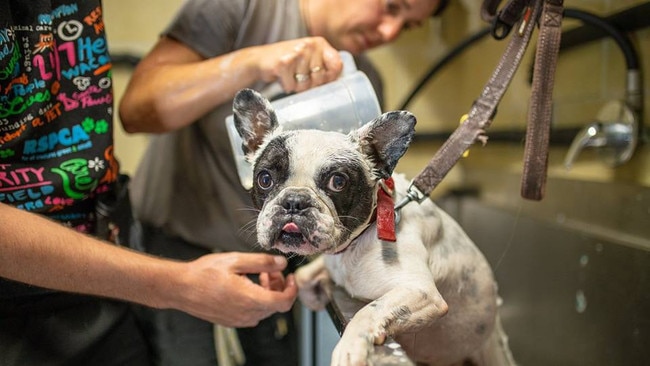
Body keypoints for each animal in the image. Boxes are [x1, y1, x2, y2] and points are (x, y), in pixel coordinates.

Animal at [234, 89, 516, 366]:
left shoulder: (420, 291)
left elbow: (367, 312)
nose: (294, 201)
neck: (354, 245)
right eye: (265, 179)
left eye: (338, 182)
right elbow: (304, 276)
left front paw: (349, 349)